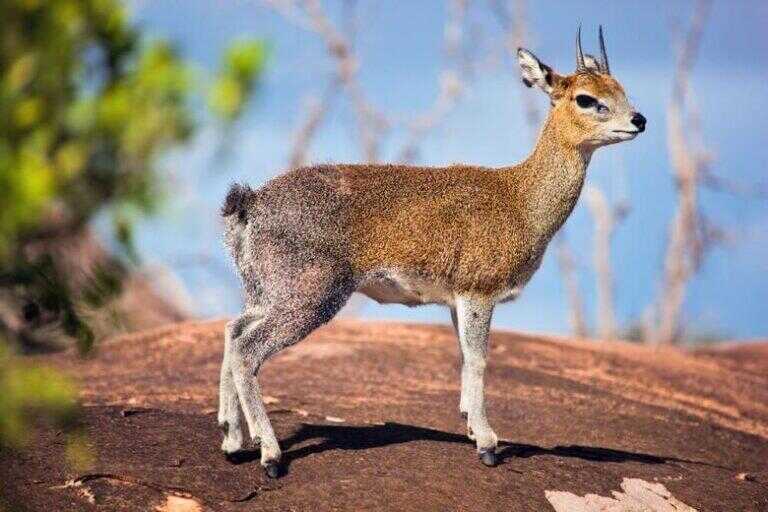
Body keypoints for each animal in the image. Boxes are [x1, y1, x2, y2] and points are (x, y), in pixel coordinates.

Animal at [218, 27, 646, 478]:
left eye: (621, 88)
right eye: (585, 97)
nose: (639, 120)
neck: (521, 201)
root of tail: (250, 202)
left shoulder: (457, 301)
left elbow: (463, 357)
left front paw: (472, 428)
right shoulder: (479, 292)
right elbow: (479, 359)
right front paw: (488, 444)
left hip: (267, 294)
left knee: (232, 330)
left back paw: (232, 439)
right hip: (308, 298)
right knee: (247, 350)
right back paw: (269, 454)